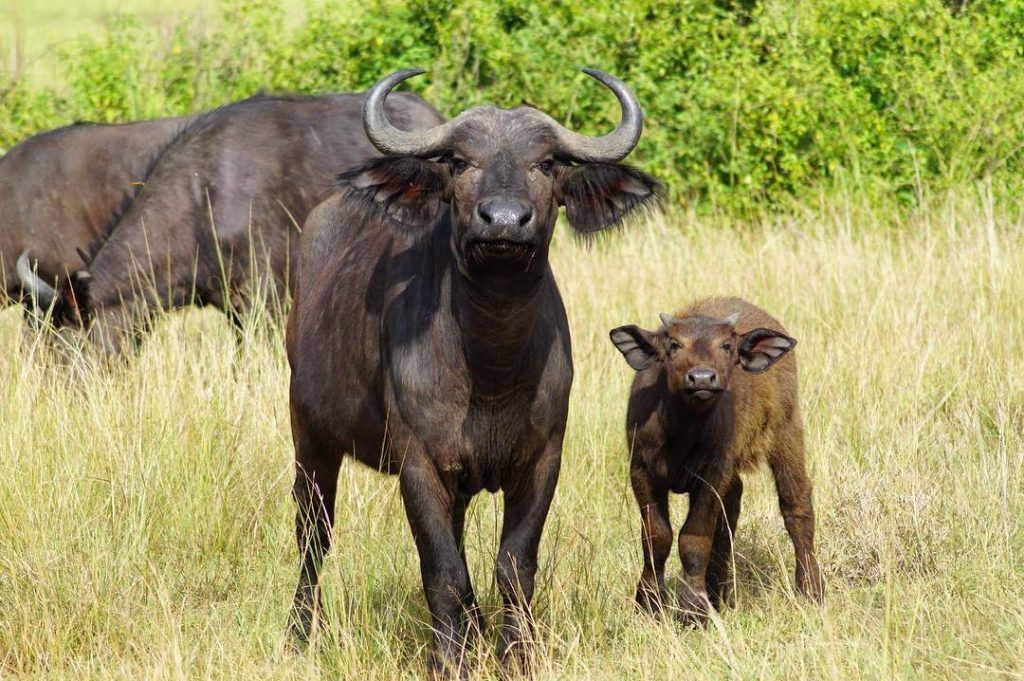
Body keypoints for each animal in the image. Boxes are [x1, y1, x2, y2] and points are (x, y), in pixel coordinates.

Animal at [284, 69, 659, 675]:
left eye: (547, 162)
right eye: (459, 161)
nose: (503, 221)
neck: (490, 368)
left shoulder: (543, 460)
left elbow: (513, 566)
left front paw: (513, 656)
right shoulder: (418, 463)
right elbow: (442, 571)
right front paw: (449, 662)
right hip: (309, 435)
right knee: (313, 537)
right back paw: (298, 636)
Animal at [606, 294, 823, 622]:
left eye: (726, 345)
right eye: (674, 344)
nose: (702, 378)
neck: (681, 432)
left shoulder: (711, 475)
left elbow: (694, 539)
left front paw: (693, 610)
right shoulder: (641, 472)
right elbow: (657, 538)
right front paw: (648, 605)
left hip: (787, 431)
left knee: (796, 505)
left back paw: (810, 590)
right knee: (732, 505)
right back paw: (719, 592)